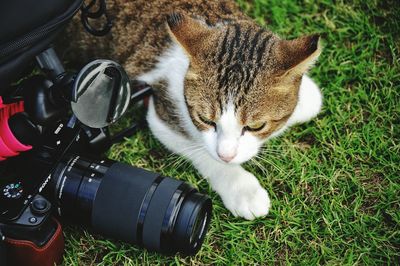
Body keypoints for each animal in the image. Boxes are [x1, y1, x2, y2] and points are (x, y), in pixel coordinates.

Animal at [63, 0, 322, 220]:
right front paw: (242, 188)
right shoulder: (161, 110)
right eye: (205, 120)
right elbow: (201, 152)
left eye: (256, 126)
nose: (227, 155)